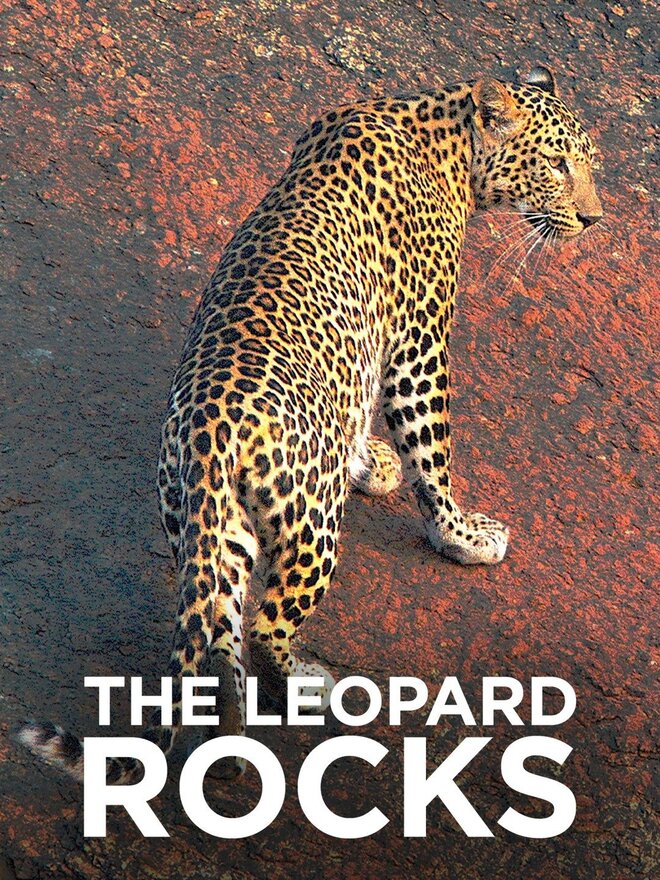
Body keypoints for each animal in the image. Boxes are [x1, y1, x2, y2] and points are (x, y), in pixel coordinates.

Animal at [18, 66, 602, 782]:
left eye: (590, 162)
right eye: (559, 164)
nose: (593, 218)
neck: (446, 134)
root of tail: (209, 434)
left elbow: (357, 405)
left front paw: (366, 459)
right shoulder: (418, 342)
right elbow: (431, 449)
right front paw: (461, 534)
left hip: (215, 533)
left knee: (220, 637)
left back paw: (233, 746)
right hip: (312, 527)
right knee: (267, 625)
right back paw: (306, 683)